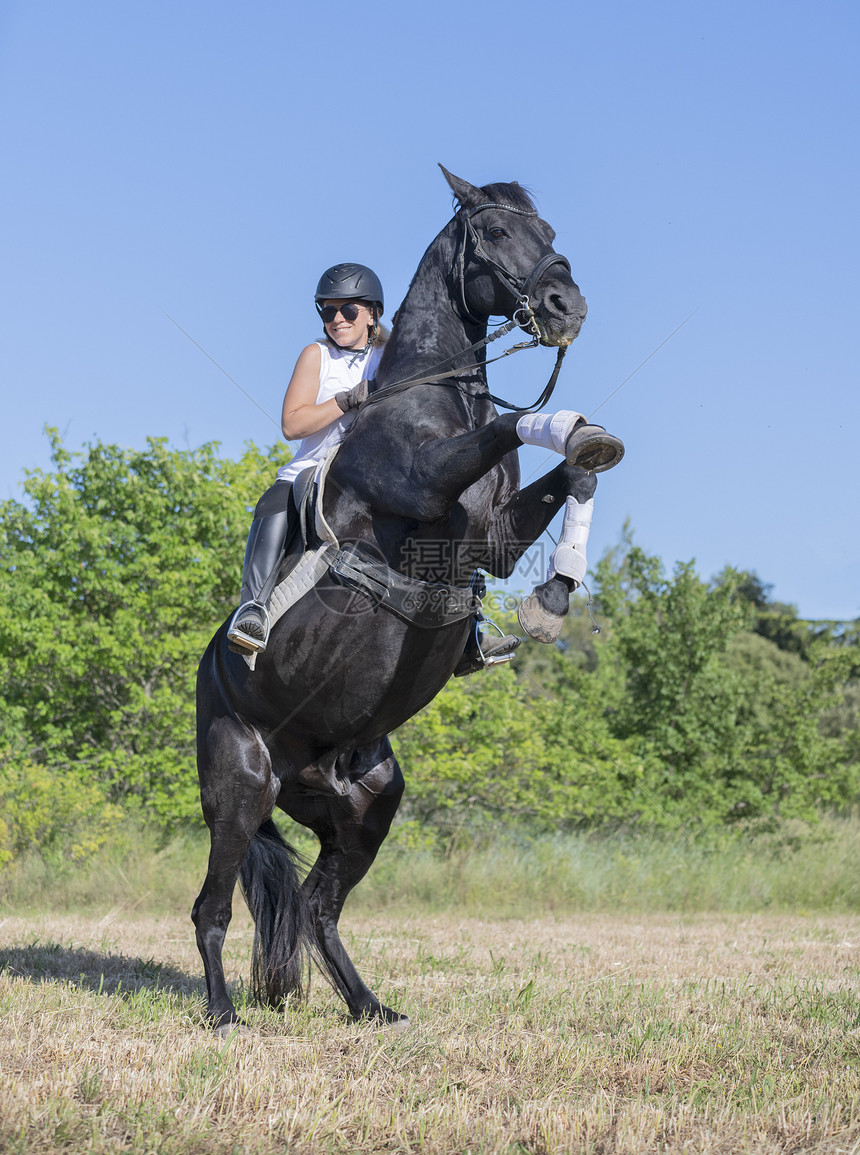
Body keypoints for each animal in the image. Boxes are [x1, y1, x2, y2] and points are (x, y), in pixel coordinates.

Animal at [192, 167, 618, 1034]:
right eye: (494, 234)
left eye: (550, 229)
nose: (568, 307)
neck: (434, 395)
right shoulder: (423, 481)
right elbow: (523, 424)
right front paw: (566, 426)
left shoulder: (495, 539)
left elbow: (576, 471)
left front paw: (554, 592)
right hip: (241, 784)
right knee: (213, 909)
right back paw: (222, 1014)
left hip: (365, 803)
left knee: (316, 905)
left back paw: (370, 1006)